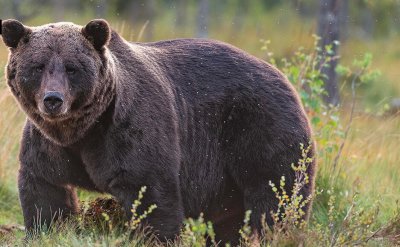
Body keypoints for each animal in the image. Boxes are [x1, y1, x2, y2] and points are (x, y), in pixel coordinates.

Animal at [0, 18, 316, 244]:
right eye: (38, 66)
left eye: (71, 67)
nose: (53, 100)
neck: (82, 130)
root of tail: (284, 78)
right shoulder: (49, 145)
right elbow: (46, 193)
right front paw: (47, 230)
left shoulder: (129, 130)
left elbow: (150, 193)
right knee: (233, 218)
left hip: (260, 127)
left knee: (276, 195)